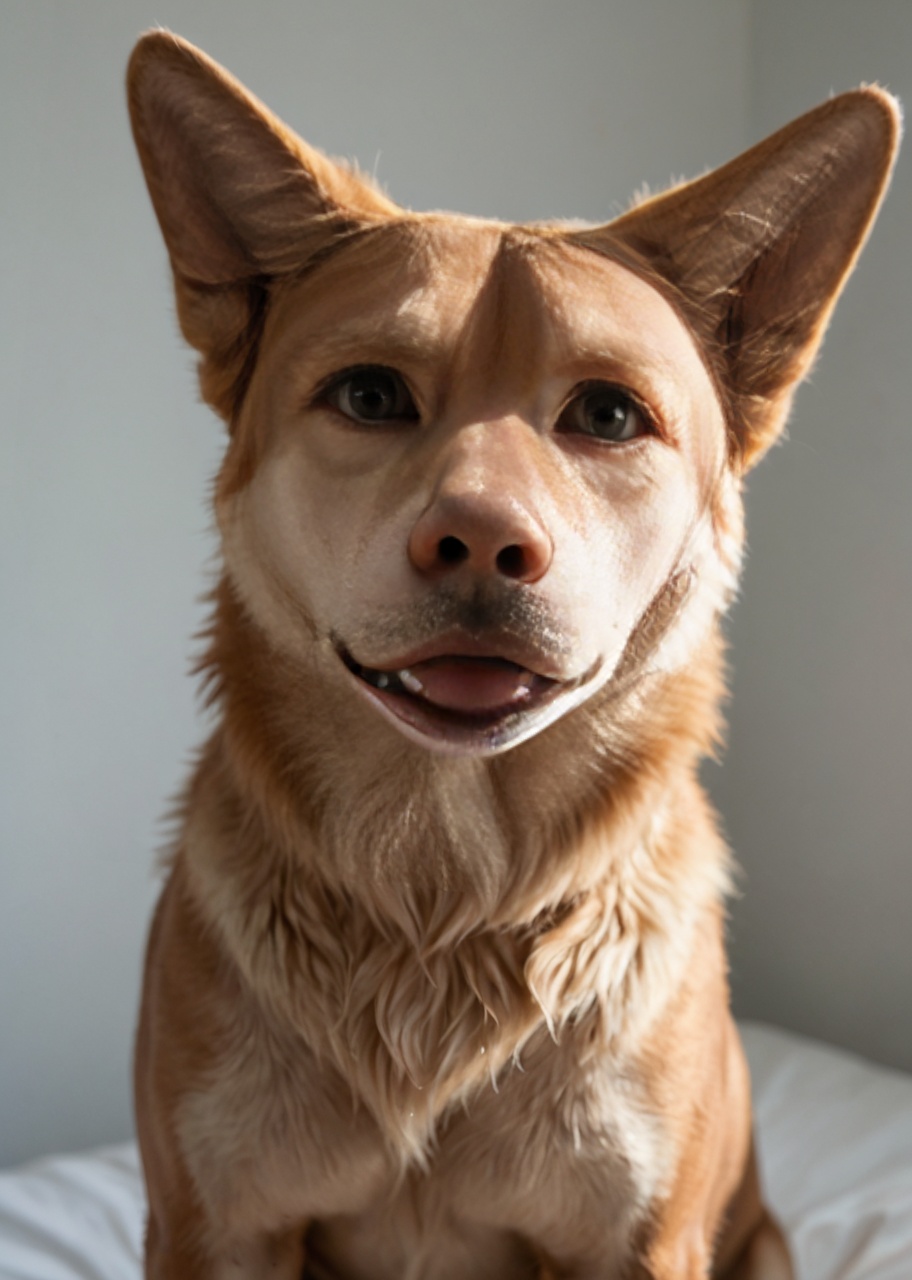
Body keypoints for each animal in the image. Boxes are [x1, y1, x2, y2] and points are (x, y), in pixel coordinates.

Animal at [127, 31, 899, 1279]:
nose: (483, 539)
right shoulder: (218, 1226)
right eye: (370, 393)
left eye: (610, 415)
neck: (445, 897)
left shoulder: (639, 1240)